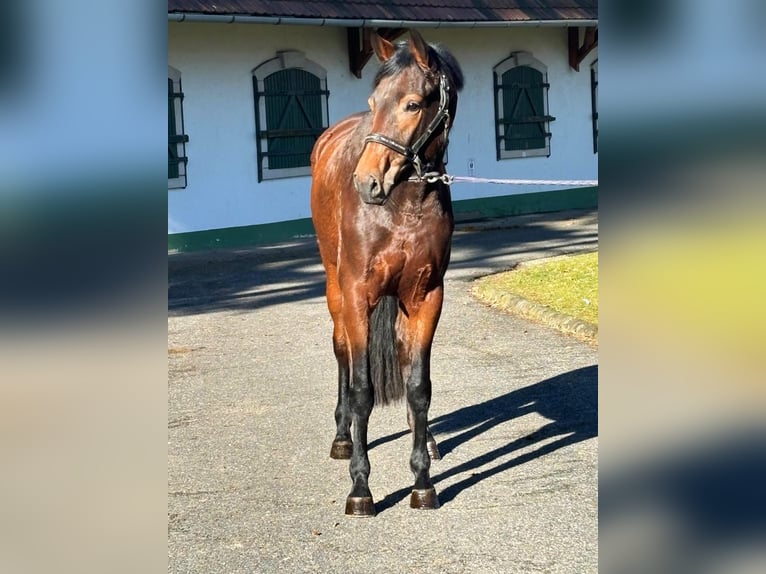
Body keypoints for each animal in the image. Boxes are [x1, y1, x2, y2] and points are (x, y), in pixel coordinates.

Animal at [308, 29, 464, 520]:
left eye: (413, 104)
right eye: (374, 100)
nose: (367, 183)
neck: (402, 206)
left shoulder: (427, 296)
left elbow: (418, 386)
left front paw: (422, 482)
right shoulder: (358, 295)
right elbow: (363, 390)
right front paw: (360, 488)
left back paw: (427, 440)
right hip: (335, 290)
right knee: (341, 351)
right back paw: (342, 437)